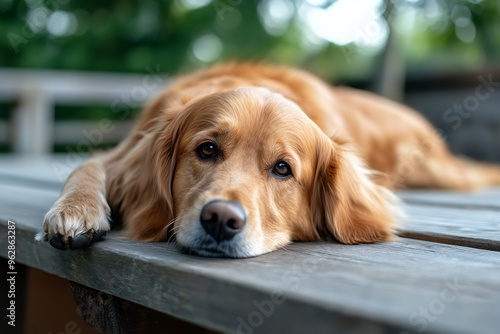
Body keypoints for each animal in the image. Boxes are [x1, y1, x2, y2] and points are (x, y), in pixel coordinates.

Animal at [37, 62, 500, 256]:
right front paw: (75, 212)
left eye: (282, 169)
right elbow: (84, 166)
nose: (220, 220)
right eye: (207, 149)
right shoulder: (120, 153)